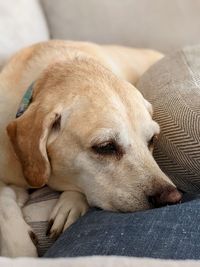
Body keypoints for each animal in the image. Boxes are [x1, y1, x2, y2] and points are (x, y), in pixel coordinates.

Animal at [0, 41, 182, 258]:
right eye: (106, 147)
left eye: (152, 139)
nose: (172, 198)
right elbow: (4, 198)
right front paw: (17, 244)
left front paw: (70, 204)